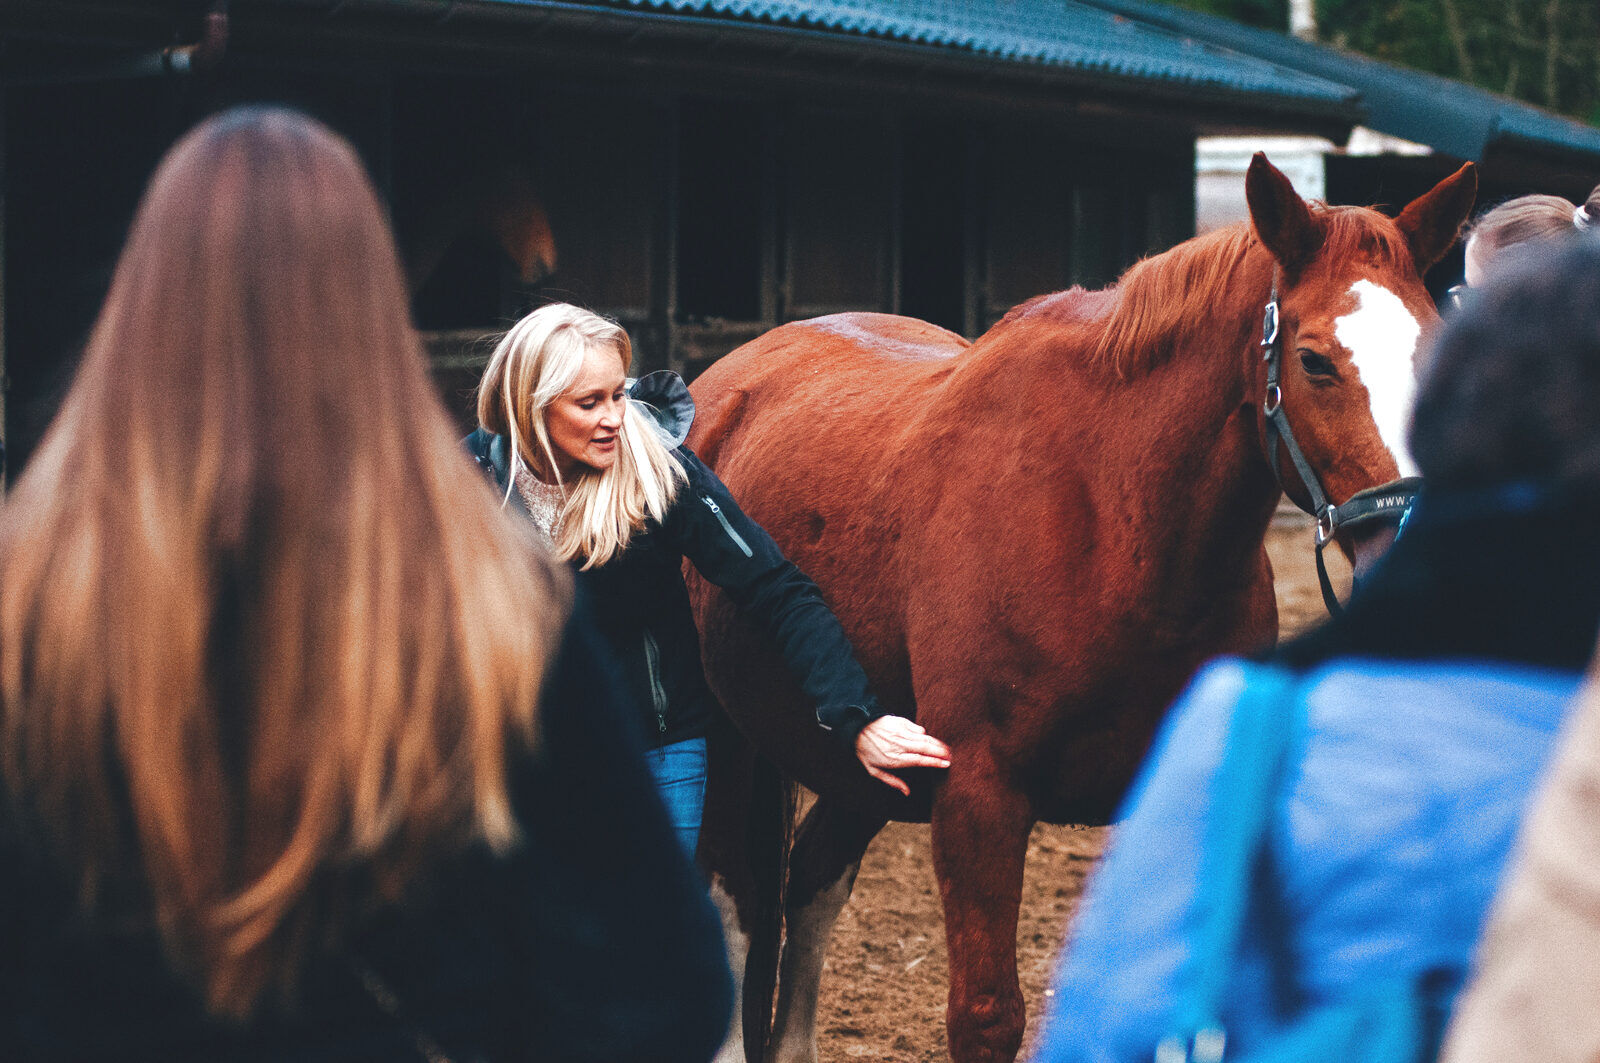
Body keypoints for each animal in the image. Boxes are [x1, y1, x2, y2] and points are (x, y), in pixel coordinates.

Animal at [686, 154, 1477, 1063]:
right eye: (1315, 361)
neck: (1109, 521)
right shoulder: (979, 800)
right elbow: (986, 1014)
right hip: (730, 735)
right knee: (737, 896)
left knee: (810, 883)